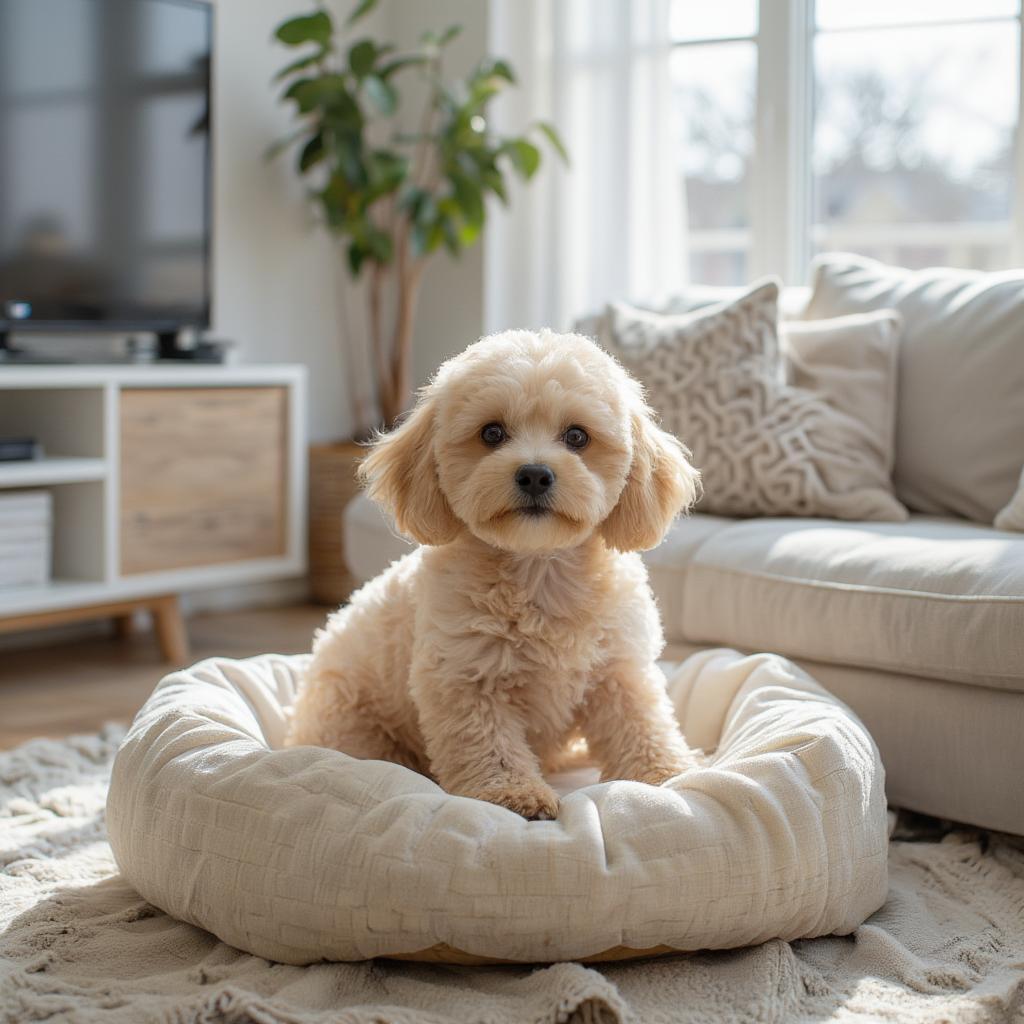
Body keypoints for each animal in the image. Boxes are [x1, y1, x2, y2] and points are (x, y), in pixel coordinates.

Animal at [288, 331, 704, 819]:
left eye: (577, 436)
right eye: (491, 433)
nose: (535, 474)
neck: (539, 569)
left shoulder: (618, 672)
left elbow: (643, 725)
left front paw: (667, 772)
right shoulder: (467, 680)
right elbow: (491, 745)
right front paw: (514, 793)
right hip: (355, 722)